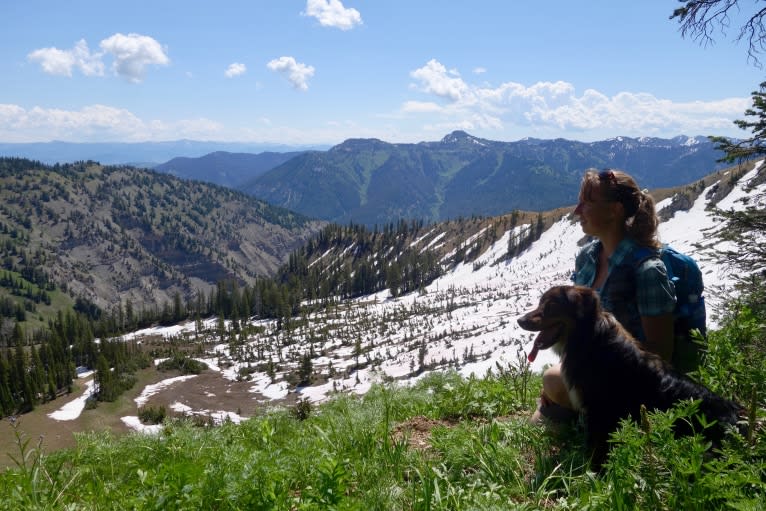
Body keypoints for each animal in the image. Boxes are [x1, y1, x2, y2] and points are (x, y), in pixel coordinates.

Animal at [520, 286, 740, 470]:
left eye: (551, 305)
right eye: (541, 303)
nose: (520, 321)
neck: (587, 339)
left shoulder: (600, 412)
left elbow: (596, 450)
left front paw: (592, 474)